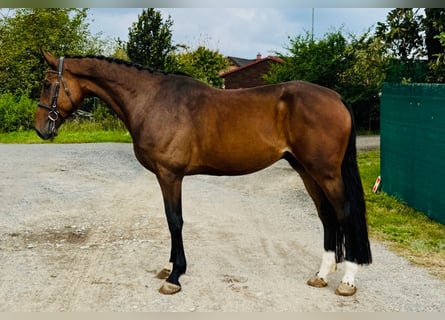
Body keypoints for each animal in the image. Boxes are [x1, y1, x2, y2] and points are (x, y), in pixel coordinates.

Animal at [35, 50, 372, 298]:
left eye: (47, 84)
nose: (40, 128)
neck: (152, 100)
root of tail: (336, 98)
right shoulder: (167, 177)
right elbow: (171, 221)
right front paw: (169, 267)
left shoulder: (170, 175)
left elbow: (175, 221)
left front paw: (175, 276)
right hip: (305, 170)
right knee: (327, 217)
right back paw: (321, 274)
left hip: (326, 173)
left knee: (344, 215)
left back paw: (348, 280)